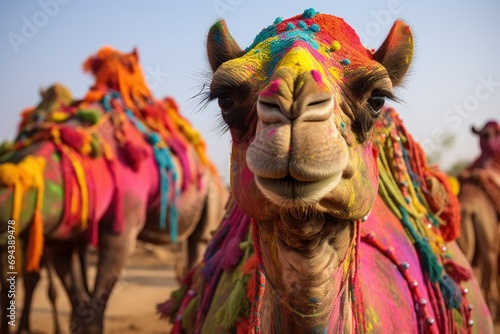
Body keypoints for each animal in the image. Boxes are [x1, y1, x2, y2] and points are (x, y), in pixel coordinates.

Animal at [0, 47, 229, 334]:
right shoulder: (59, 240)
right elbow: (80, 309)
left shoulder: (121, 231)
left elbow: (93, 314)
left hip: (211, 202)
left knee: (197, 250)